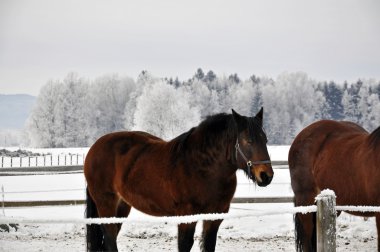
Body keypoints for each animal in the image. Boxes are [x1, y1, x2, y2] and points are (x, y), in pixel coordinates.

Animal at [84, 108, 274, 252]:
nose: (266, 175)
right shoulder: (186, 215)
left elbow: (209, 245)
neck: (203, 167)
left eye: (265, 139)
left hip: (122, 206)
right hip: (106, 203)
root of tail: (95, 148)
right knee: (109, 239)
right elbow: (184, 245)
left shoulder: (215, 216)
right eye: (248, 140)